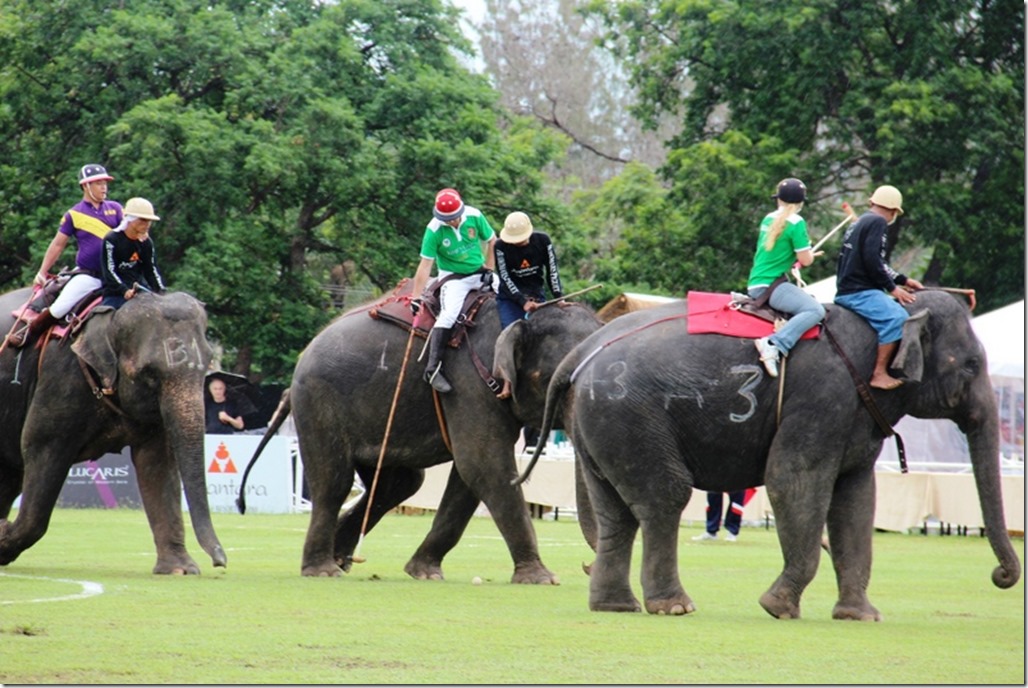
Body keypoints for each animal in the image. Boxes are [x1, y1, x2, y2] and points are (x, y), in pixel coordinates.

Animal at [0, 285, 226, 575]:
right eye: (149, 374)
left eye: (208, 363)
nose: (220, 561)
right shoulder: (59, 377)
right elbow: (40, 449)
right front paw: (3, 540)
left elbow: (158, 464)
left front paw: (180, 569)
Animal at [241, 287, 604, 584]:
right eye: (560, 382)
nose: (587, 567)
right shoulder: (467, 383)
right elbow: (484, 465)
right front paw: (542, 578)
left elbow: (469, 476)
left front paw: (424, 572)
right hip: (319, 401)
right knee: (335, 481)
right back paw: (323, 570)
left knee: (398, 484)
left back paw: (341, 558)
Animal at [522, 290, 1019, 617]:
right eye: (972, 365)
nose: (1001, 577)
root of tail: (580, 354)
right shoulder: (823, 397)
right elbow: (793, 480)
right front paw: (777, 607)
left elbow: (857, 502)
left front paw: (860, 616)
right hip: (630, 415)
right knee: (664, 498)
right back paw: (675, 607)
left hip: (598, 426)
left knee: (615, 512)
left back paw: (616, 607)